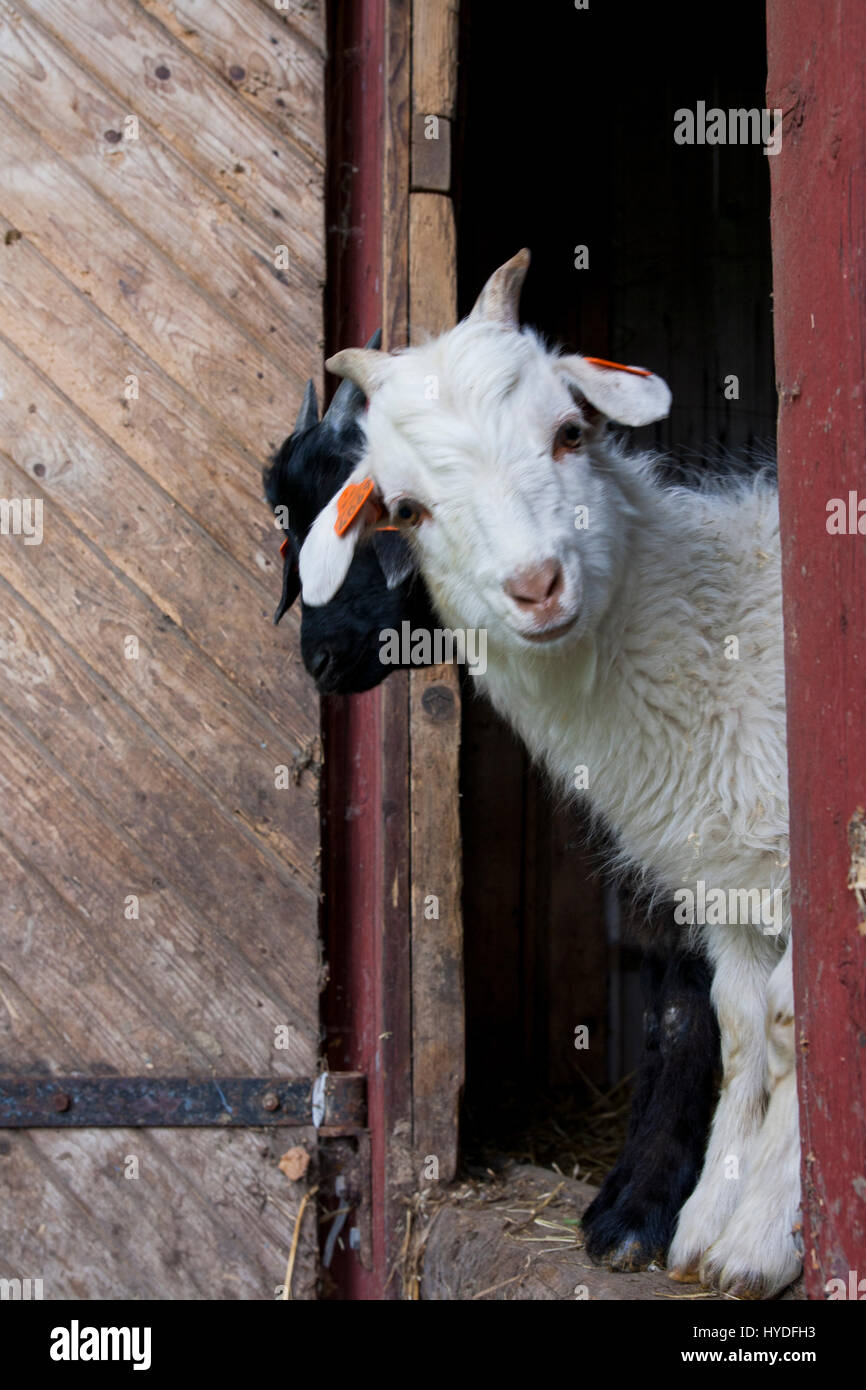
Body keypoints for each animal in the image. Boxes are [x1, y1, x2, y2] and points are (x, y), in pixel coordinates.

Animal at [301, 252, 800, 1301]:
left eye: (570, 431)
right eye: (405, 509)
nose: (536, 587)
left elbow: (787, 1022)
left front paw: (762, 1237)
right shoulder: (726, 880)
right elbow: (739, 1028)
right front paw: (705, 1224)